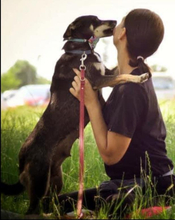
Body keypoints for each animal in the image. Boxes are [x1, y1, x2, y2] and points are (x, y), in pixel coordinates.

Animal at [0, 15, 148, 215]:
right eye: (95, 20)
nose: (115, 21)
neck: (81, 50)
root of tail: (21, 159)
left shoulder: (107, 73)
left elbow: (120, 70)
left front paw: (142, 62)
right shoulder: (99, 80)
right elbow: (123, 76)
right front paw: (139, 77)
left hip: (55, 180)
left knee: (49, 202)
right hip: (40, 181)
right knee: (32, 210)